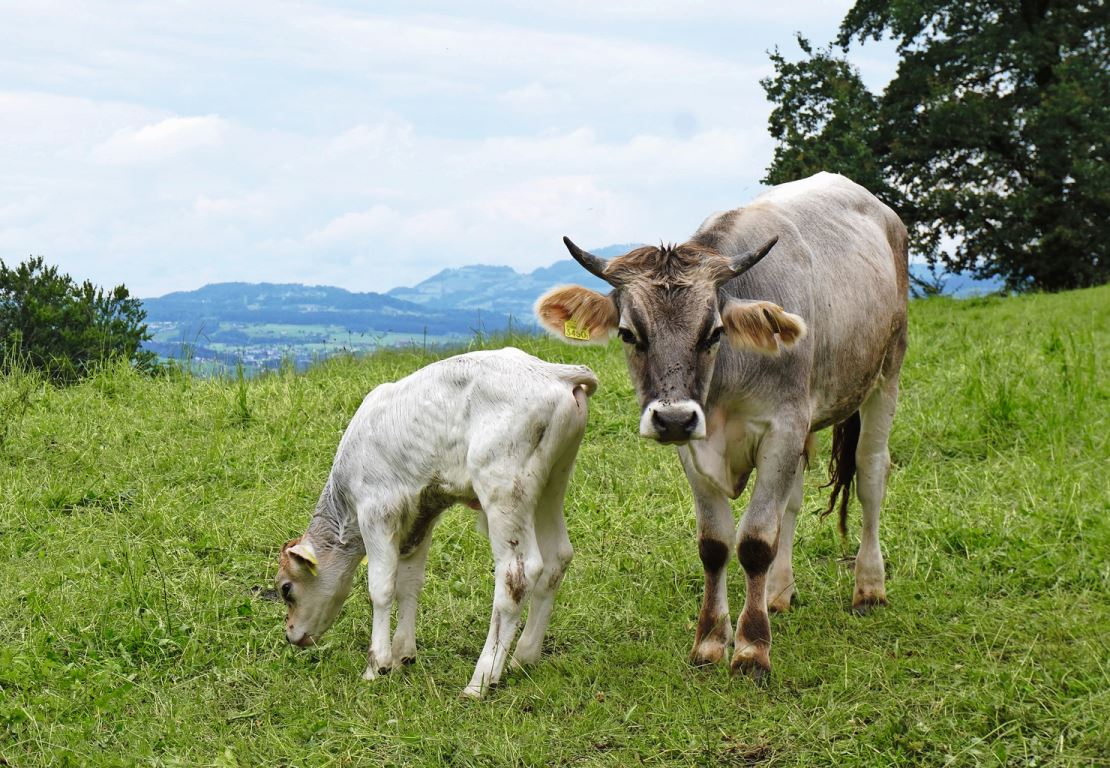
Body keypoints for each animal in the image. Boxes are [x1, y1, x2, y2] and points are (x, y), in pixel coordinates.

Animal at [277, 348, 599, 696]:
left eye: (286, 589)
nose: (290, 634)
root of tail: (554, 371)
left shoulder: (377, 512)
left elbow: (381, 587)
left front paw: (377, 664)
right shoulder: (421, 514)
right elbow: (409, 582)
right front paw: (403, 654)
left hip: (504, 489)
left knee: (519, 575)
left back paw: (481, 681)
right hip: (552, 482)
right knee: (557, 557)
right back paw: (523, 658)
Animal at [532, 172, 905, 679]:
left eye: (713, 332)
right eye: (629, 333)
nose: (672, 417)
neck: (726, 385)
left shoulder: (783, 426)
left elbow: (755, 541)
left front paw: (751, 648)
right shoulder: (698, 442)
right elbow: (715, 544)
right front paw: (710, 641)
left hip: (886, 372)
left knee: (869, 476)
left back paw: (868, 586)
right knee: (792, 500)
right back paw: (778, 593)